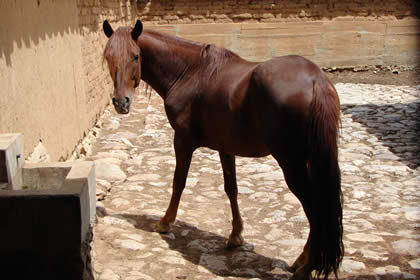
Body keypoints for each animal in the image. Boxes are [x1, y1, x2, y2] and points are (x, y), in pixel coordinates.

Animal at [102, 20, 344, 280]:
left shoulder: (182, 141)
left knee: (315, 208)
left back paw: (307, 268)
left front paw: (165, 222)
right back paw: (302, 261)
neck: (191, 73)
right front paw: (236, 236)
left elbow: (179, 182)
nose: (121, 102)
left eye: (135, 56)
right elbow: (231, 189)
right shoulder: (225, 148)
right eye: (107, 57)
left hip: (292, 164)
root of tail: (316, 80)